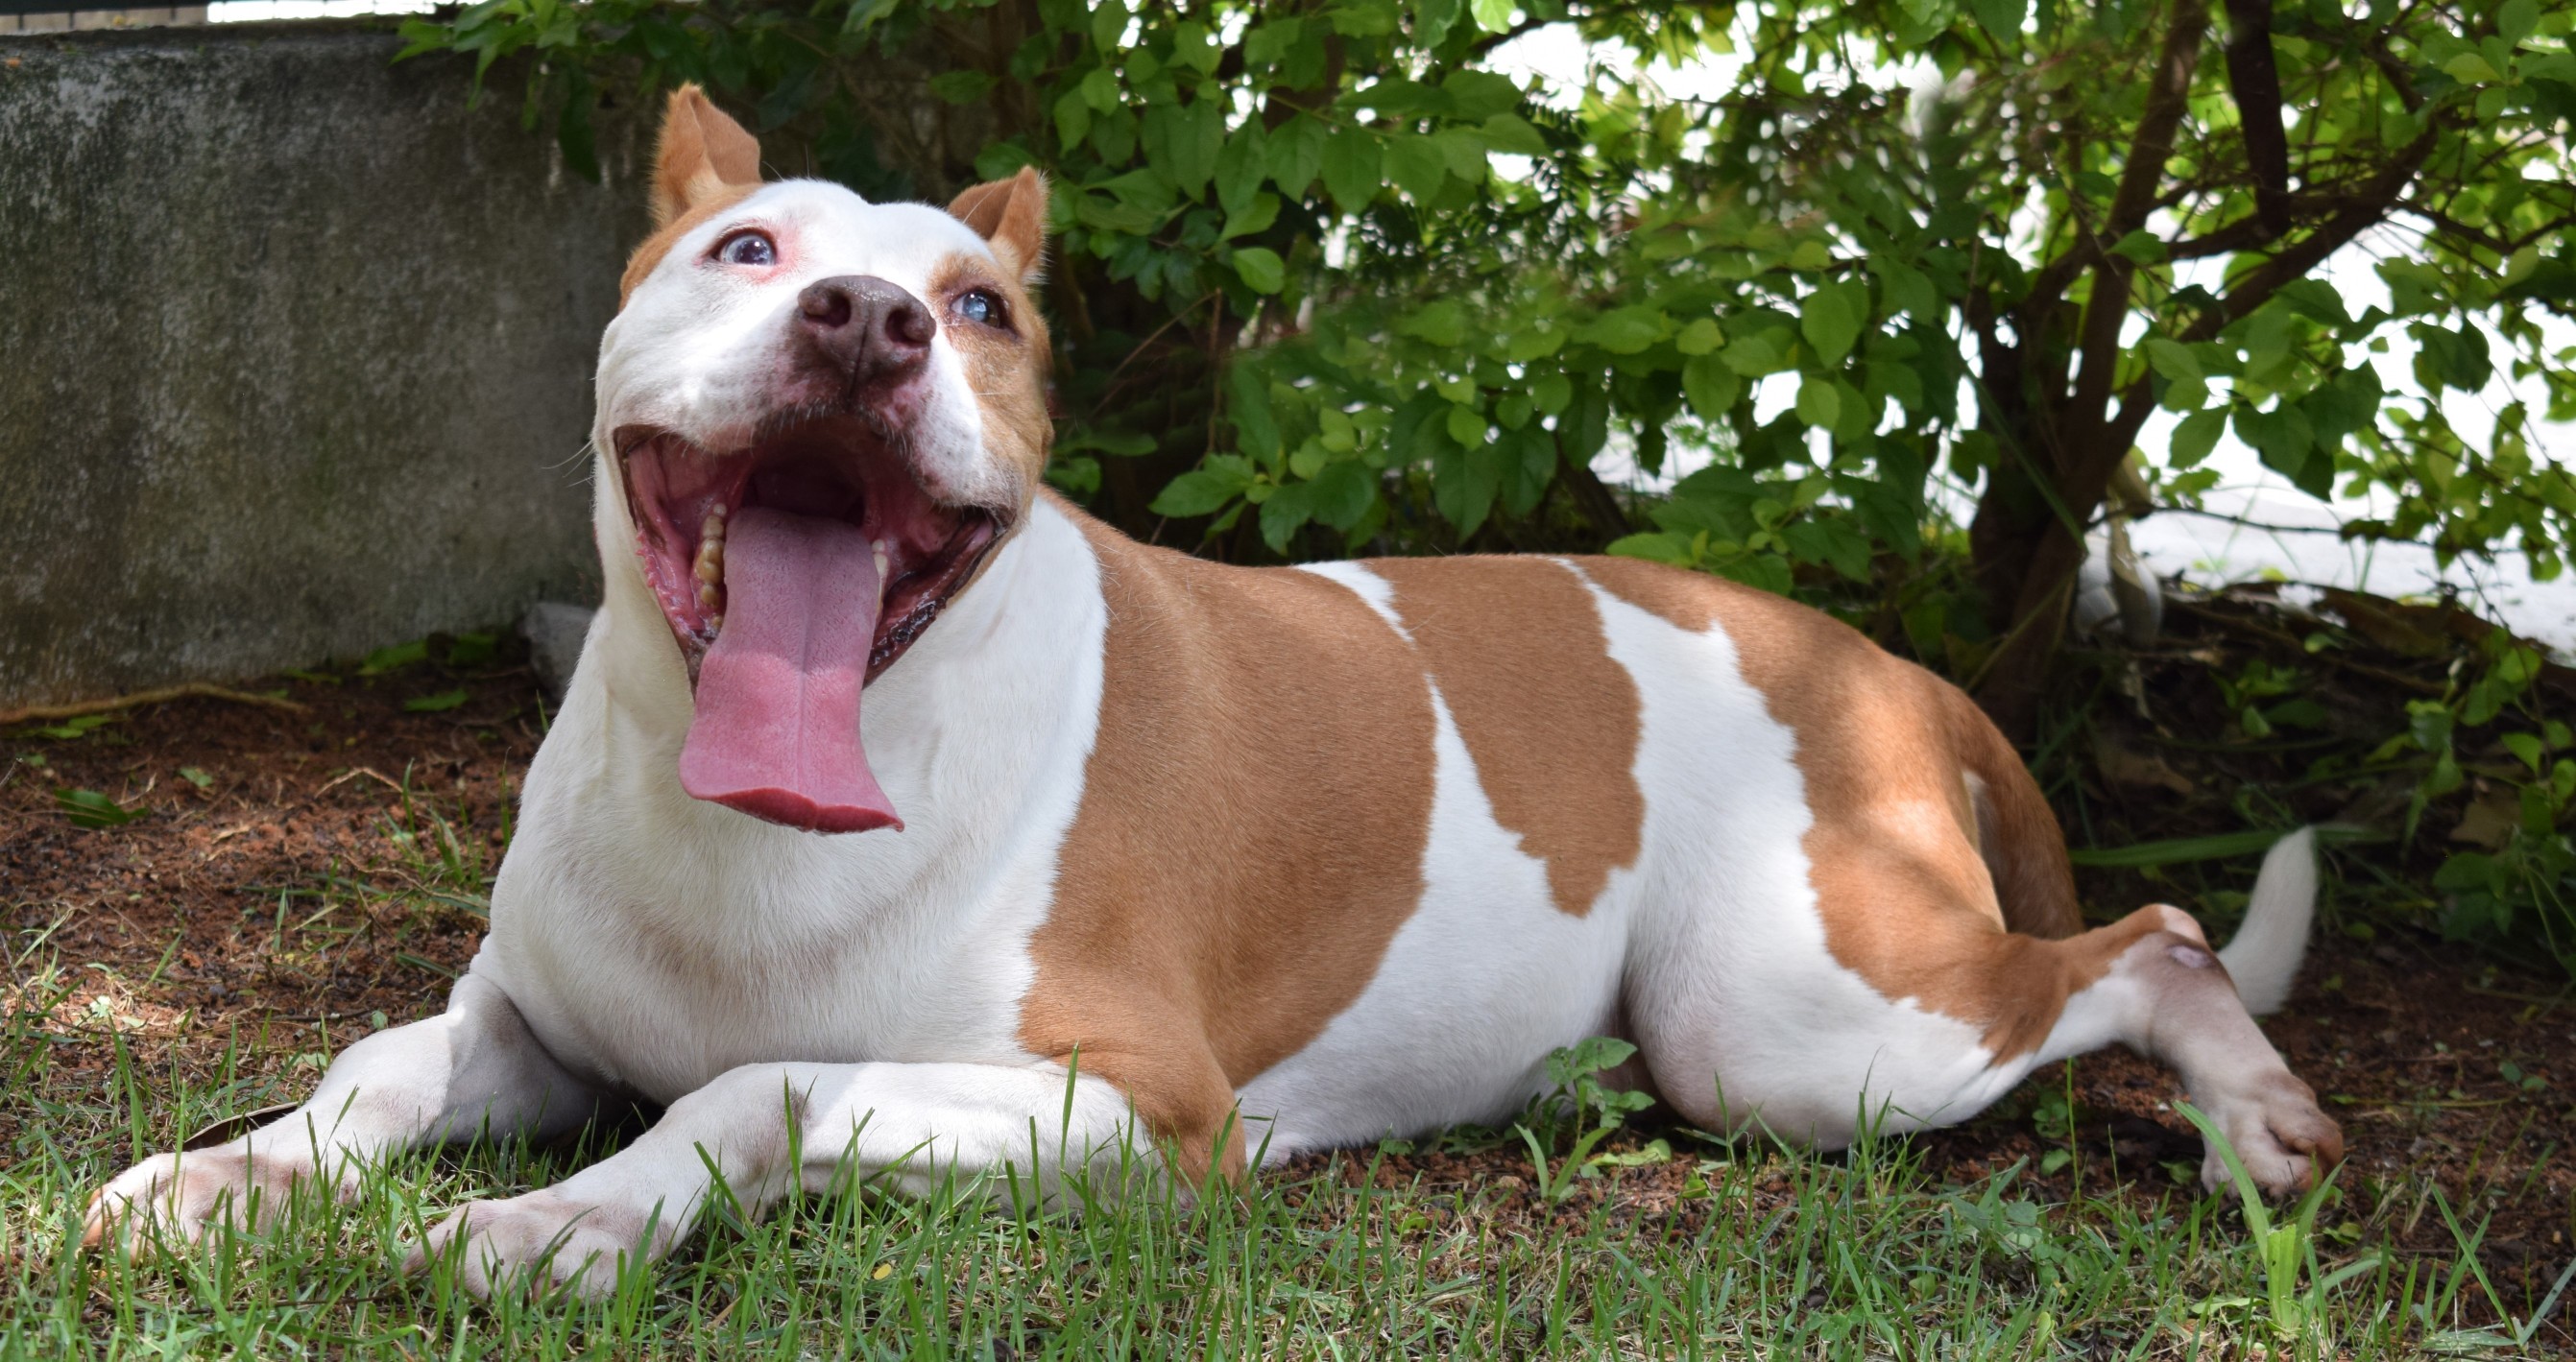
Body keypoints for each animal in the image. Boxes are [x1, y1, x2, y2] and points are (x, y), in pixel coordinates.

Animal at [85, 87, 2339, 1297]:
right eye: (742, 250)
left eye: (983, 309)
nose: (871, 319)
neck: (767, 810)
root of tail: (1884, 664)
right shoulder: (529, 1023)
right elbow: (379, 1068)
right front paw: (237, 1168)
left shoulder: (1126, 1101)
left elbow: (756, 1085)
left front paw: (557, 1224)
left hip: (1797, 1024)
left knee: (2145, 930)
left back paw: (2256, 1115)